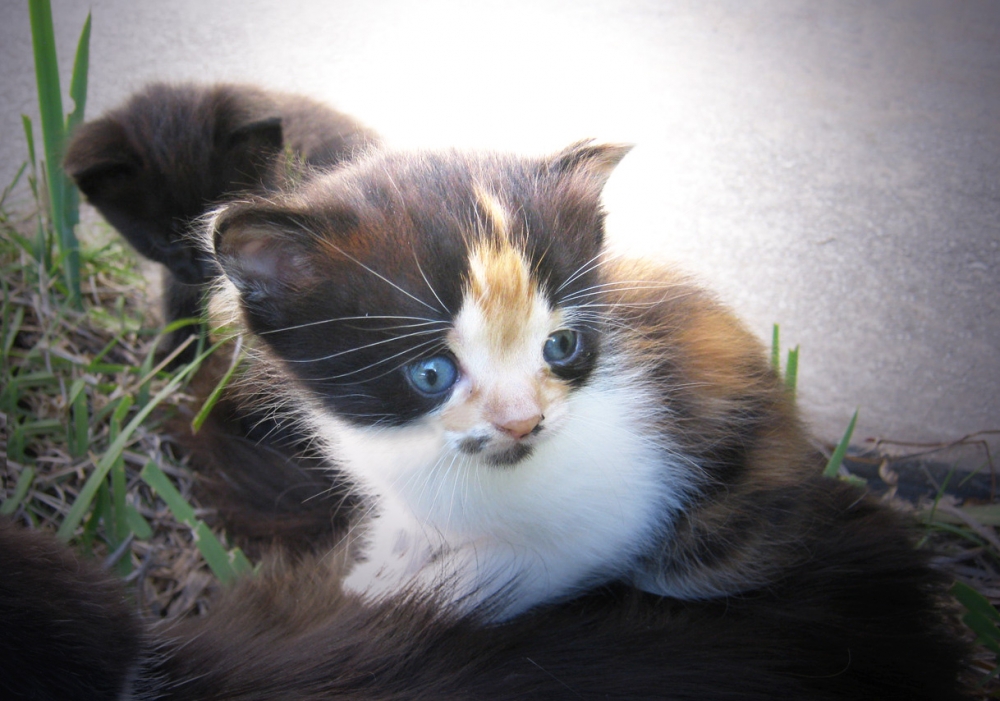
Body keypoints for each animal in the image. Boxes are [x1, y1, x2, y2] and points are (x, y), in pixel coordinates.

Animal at [211, 141, 860, 616]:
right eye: (431, 373)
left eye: (562, 345)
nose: (524, 421)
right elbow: (408, 528)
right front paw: (378, 572)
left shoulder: (623, 504)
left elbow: (503, 571)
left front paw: (402, 600)